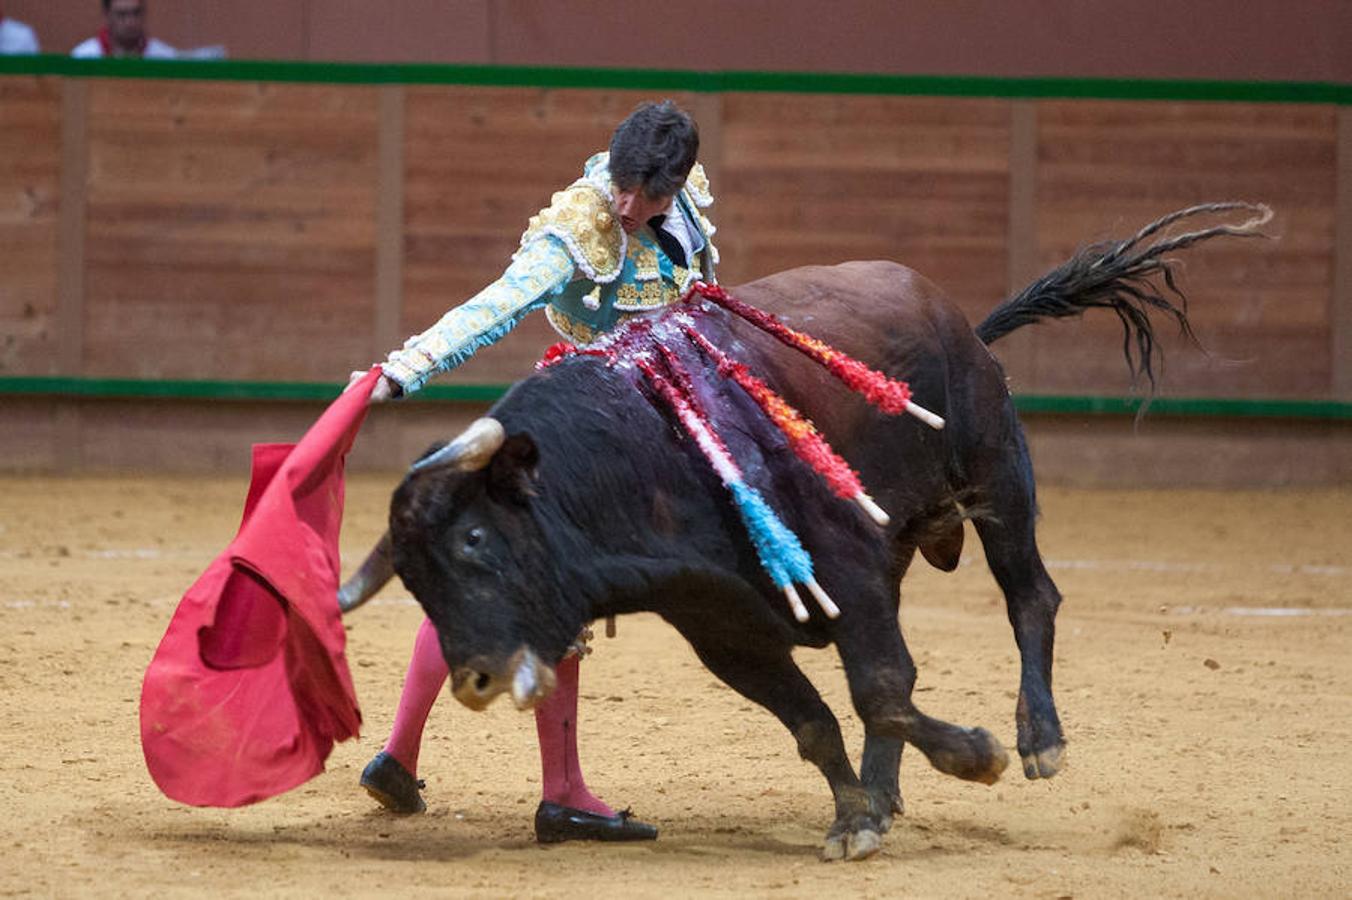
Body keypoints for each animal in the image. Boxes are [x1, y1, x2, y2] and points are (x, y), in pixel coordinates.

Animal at [338, 201, 1265, 854]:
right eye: (413, 580)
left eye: (474, 542)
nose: (477, 679)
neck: (645, 450)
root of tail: (958, 319)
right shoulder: (726, 629)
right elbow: (824, 718)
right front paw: (857, 814)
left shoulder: (846, 572)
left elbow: (882, 690)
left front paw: (978, 756)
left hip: (999, 478)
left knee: (1030, 597)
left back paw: (1039, 741)